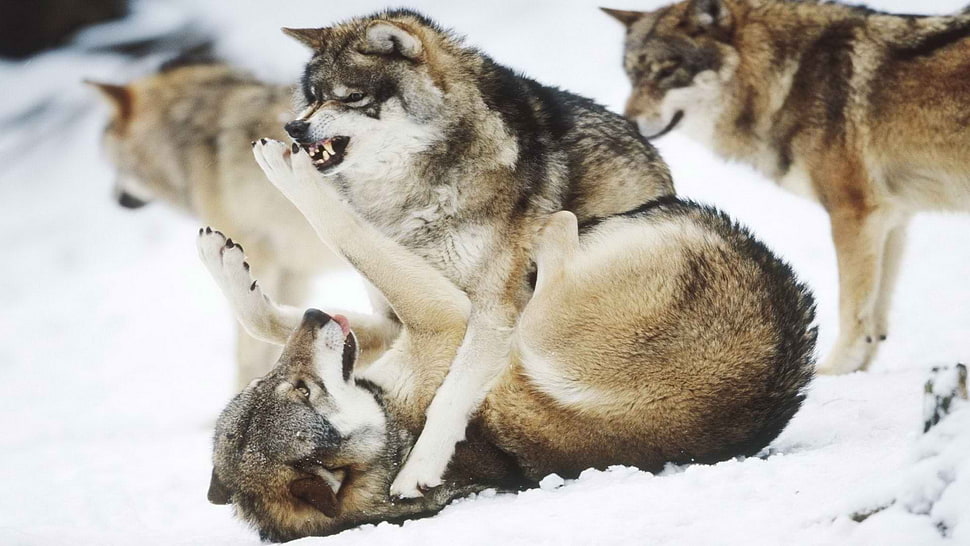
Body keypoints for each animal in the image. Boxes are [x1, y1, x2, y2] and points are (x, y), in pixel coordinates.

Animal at [196, 168, 816, 539]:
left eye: (285, 384)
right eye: (301, 390)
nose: (315, 318)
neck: (391, 427)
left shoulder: (418, 326)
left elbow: (267, 318)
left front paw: (227, 264)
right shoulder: (447, 317)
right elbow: (349, 236)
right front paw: (288, 169)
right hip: (539, 332)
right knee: (555, 242)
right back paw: (545, 235)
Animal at [272, 9, 679, 498]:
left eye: (351, 97)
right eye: (313, 98)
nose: (294, 127)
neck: (410, 194)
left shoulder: (492, 312)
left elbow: (449, 395)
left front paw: (416, 471)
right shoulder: (396, 311)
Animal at [603, 0, 970, 375]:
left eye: (668, 70)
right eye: (632, 75)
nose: (627, 122)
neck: (788, 78)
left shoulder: (854, 214)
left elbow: (853, 311)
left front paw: (832, 373)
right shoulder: (893, 217)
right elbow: (875, 318)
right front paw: (857, 374)